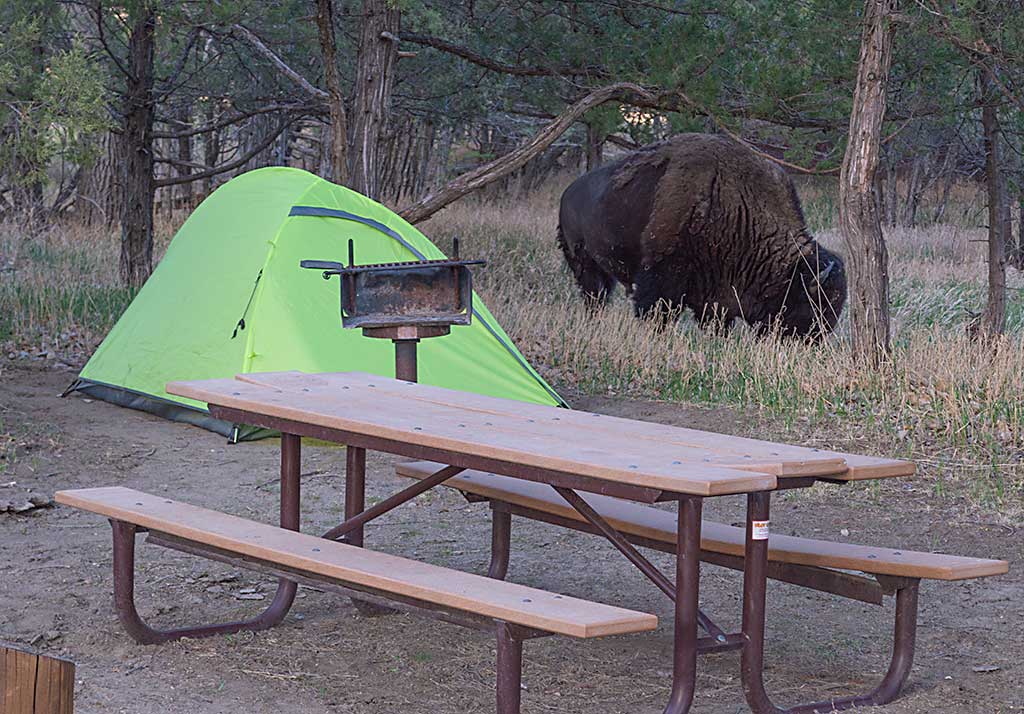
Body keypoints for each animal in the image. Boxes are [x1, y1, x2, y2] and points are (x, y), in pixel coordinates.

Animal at [561, 133, 847, 336]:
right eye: (814, 305)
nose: (811, 341)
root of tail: (567, 193)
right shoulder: (662, 273)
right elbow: (657, 308)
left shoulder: (715, 294)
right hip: (583, 263)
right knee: (594, 293)